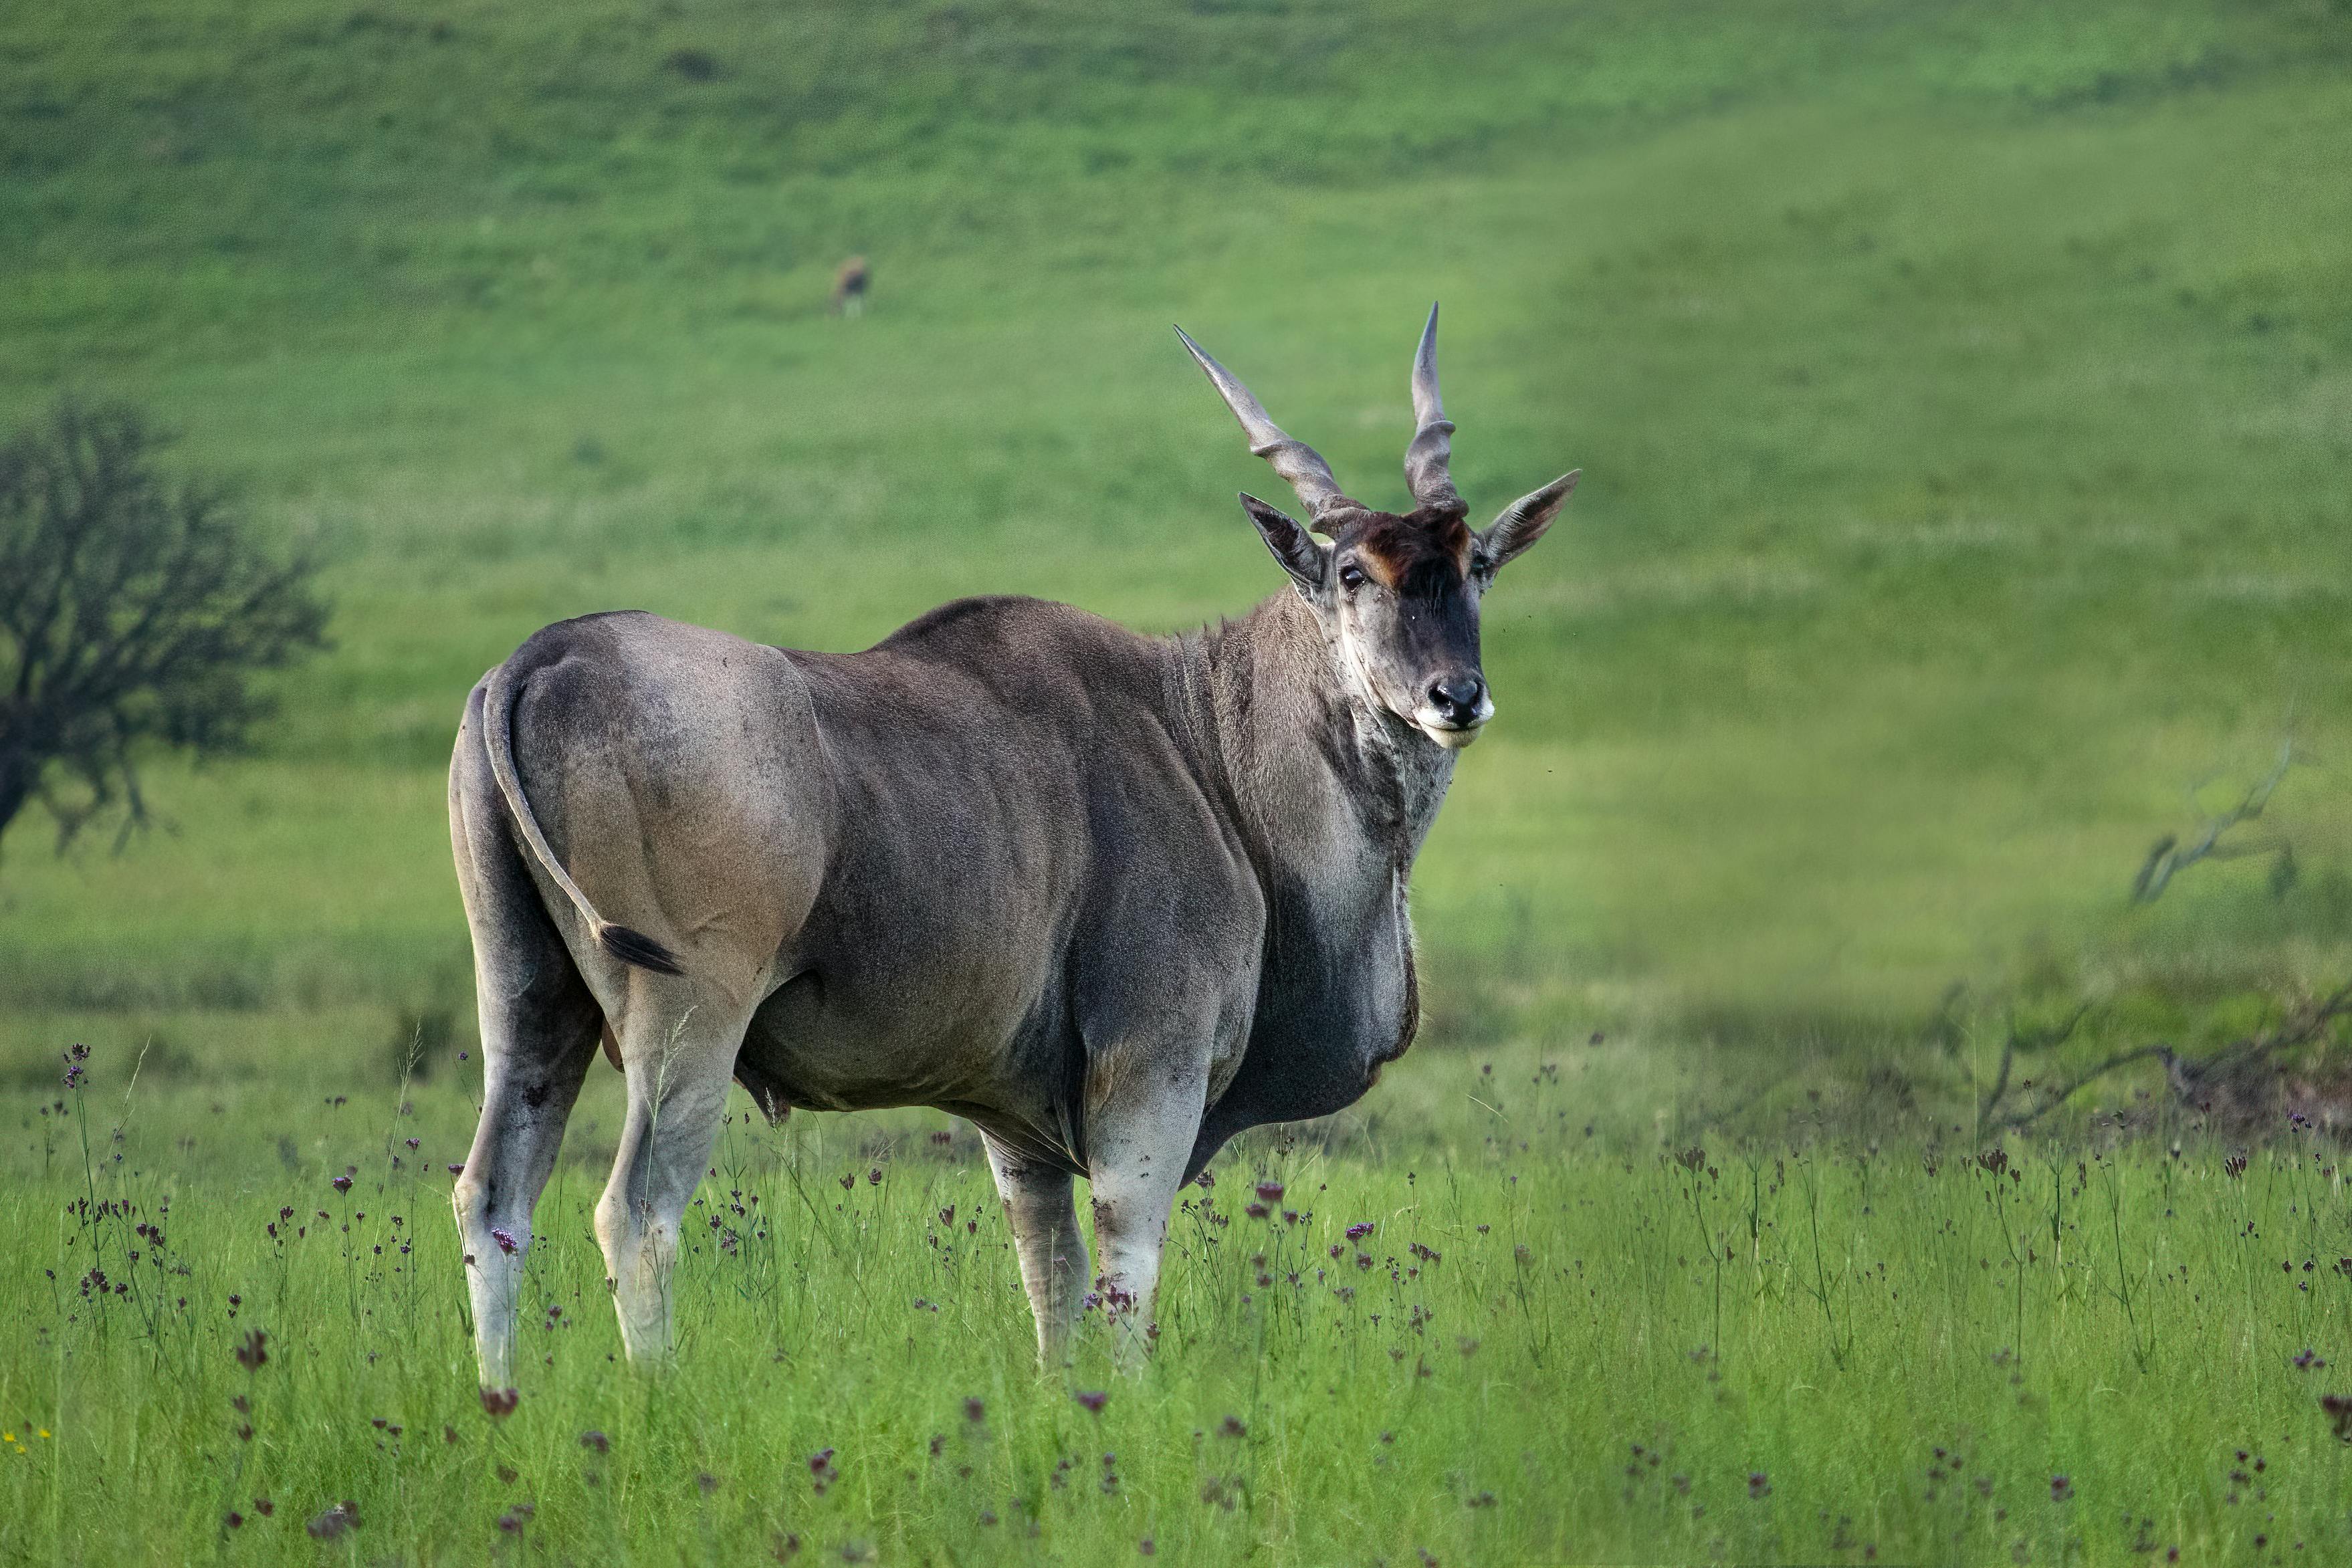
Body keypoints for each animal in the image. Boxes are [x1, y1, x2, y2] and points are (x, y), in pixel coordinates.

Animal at [447, 306, 1571, 1382]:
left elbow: (1050, 1273)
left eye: (1475, 565)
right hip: (688, 1017)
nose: (1455, 696)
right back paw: (657, 1400)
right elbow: (1124, 1268)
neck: (1204, 737)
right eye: (1350, 574)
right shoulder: (1149, 1072)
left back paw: (501, 1401)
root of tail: (539, 657)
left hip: (527, 1000)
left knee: (492, 1197)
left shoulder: (1014, 1122)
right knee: (635, 1212)